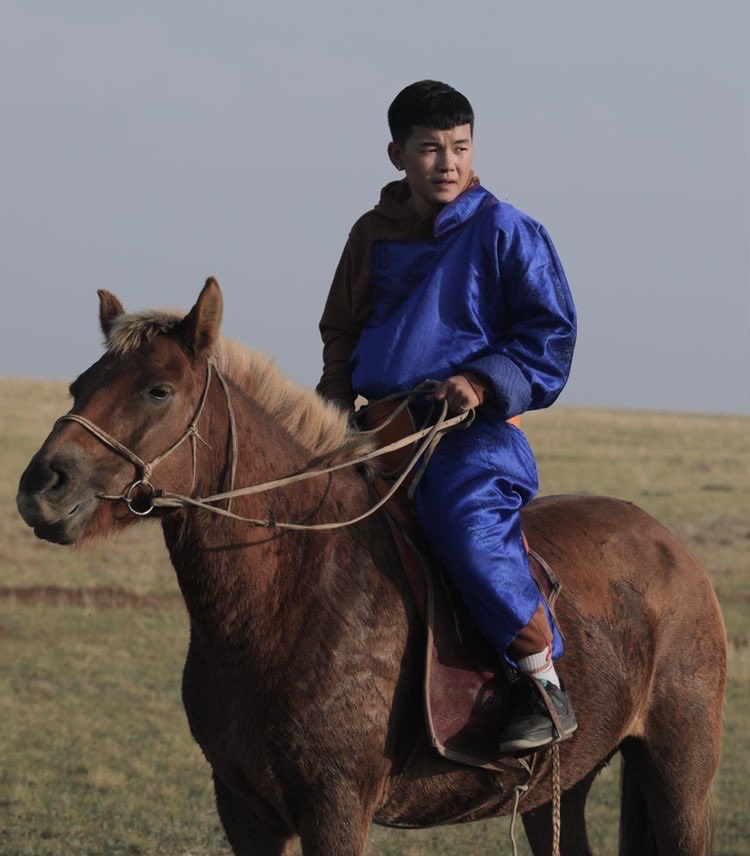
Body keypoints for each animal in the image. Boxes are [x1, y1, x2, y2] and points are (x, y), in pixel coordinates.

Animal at [16, 279, 726, 855]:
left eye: (158, 390)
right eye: (80, 385)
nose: (40, 487)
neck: (294, 588)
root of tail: (675, 551)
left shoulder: (335, 807)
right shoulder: (244, 810)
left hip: (680, 776)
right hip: (562, 786)